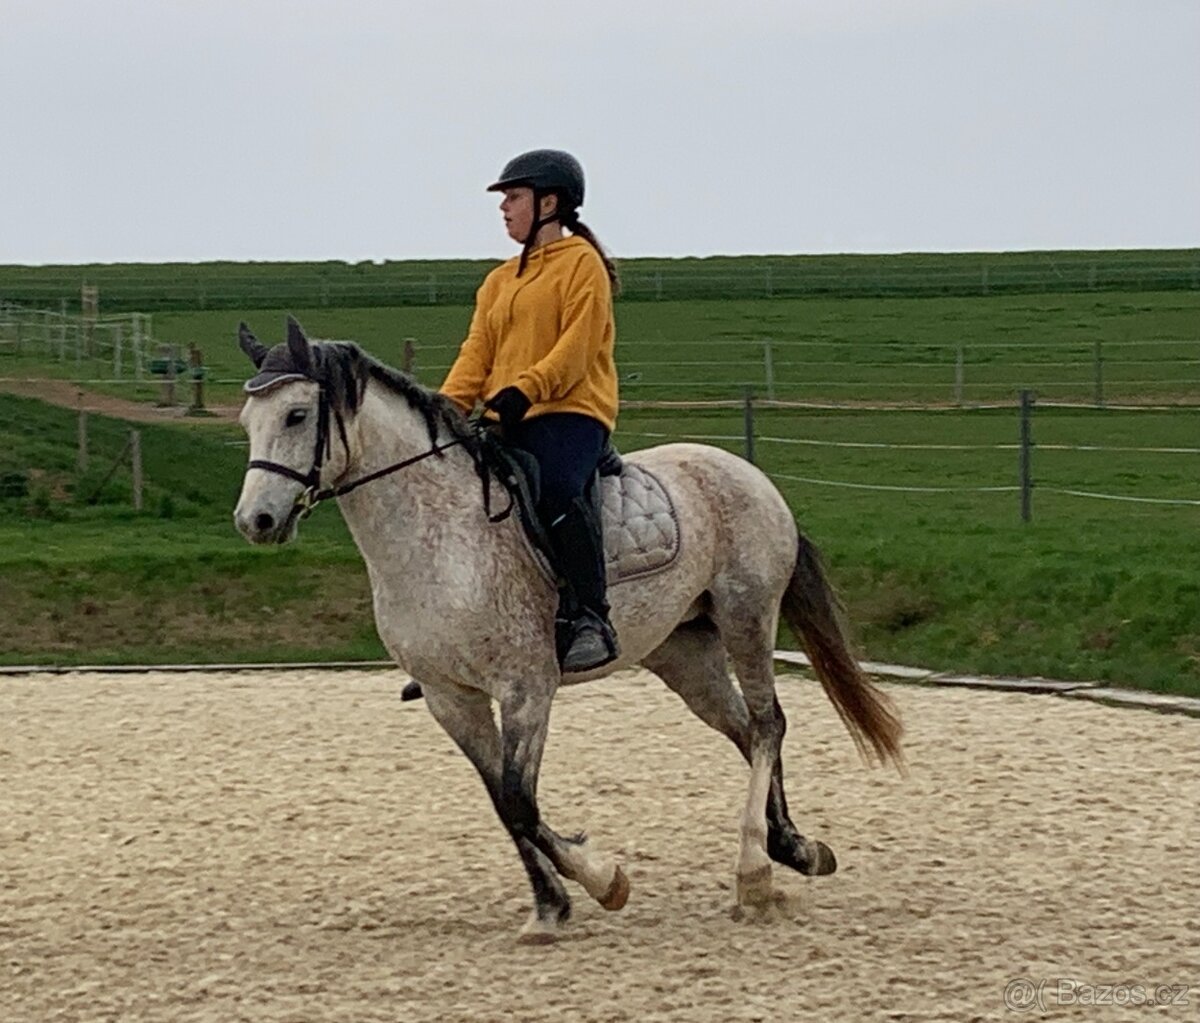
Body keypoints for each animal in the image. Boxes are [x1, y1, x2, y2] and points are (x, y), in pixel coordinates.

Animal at [232, 317, 903, 944]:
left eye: (296, 414)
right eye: (246, 420)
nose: (255, 521)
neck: (438, 535)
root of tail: (748, 473)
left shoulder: (526, 686)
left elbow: (520, 800)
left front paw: (603, 881)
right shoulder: (451, 699)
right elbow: (503, 804)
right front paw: (550, 907)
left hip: (748, 615)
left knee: (767, 725)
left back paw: (755, 874)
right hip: (684, 654)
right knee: (744, 729)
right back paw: (793, 848)